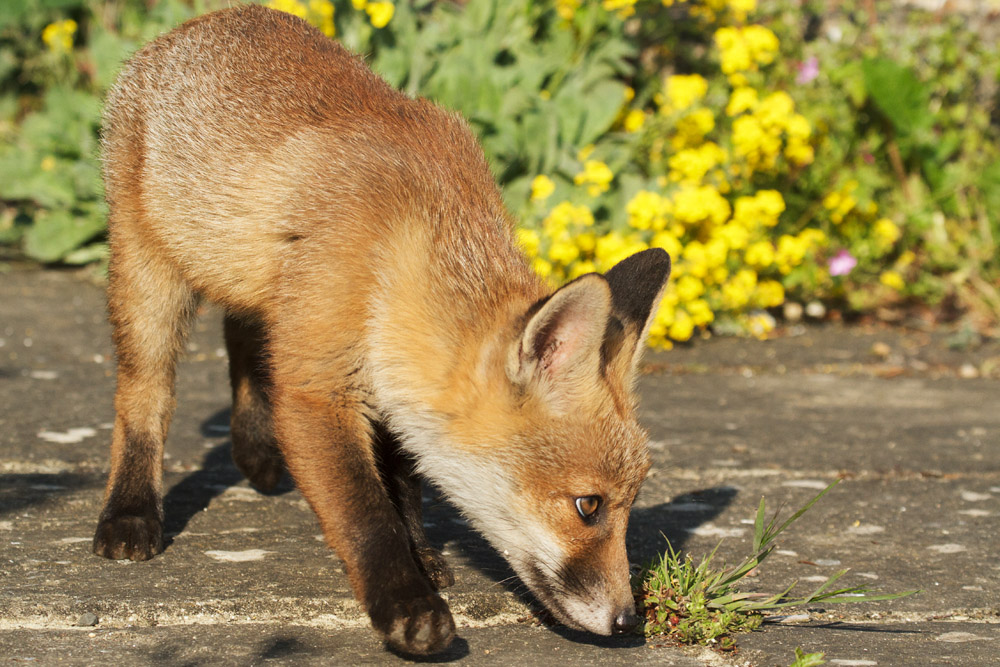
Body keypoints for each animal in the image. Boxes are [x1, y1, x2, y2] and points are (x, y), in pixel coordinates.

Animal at [92, 4, 671, 656]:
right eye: (588, 506)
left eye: (629, 505)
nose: (628, 621)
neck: (410, 239)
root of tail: (196, 25)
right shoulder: (318, 385)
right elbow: (367, 515)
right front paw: (408, 605)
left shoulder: (393, 367)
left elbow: (405, 482)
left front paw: (423, 557)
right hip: (150, 280)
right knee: (146, 395)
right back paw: (130, 511)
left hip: (261, 286)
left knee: (242, 337)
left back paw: (254, 447)